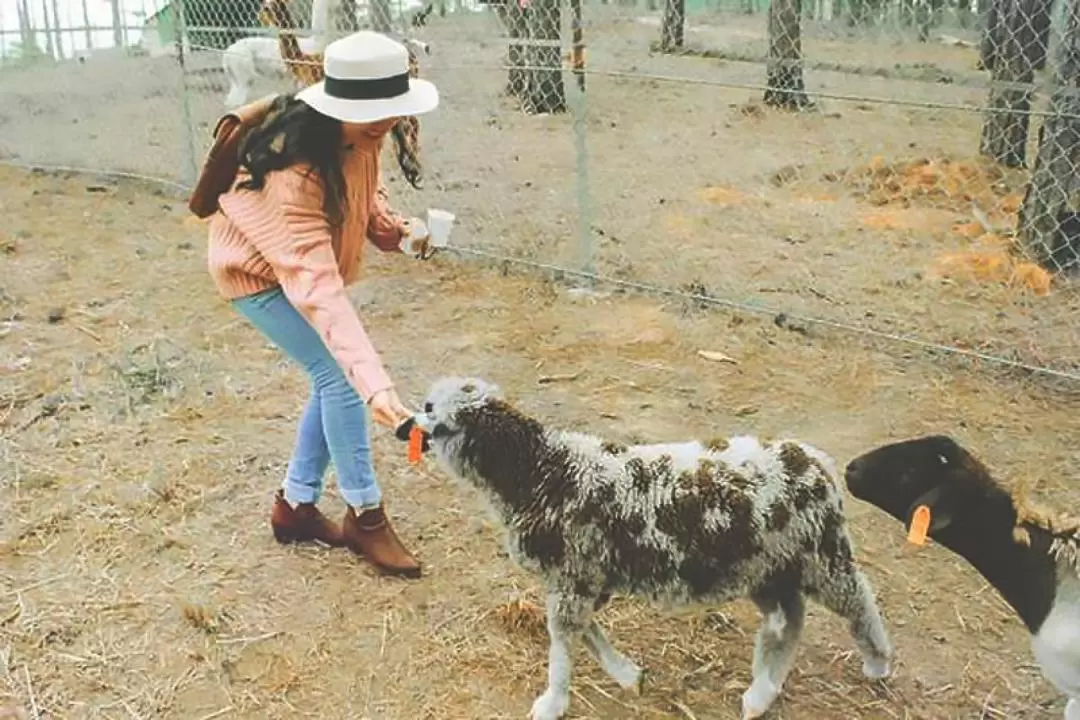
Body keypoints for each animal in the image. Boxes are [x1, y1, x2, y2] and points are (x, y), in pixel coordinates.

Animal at [412, 377, 894, 720]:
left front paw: (552, 703)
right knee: (788, 620)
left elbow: (563, 643)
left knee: (859, 601)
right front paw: (629, 676)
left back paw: (878, 664)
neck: (539, 473)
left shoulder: (574, 574)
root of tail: (816, 462)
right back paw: (760, 692)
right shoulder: (582, 578)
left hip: (820, 555)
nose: (408, 426)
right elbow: (584, 632)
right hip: (766, 565)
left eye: (433, 410)